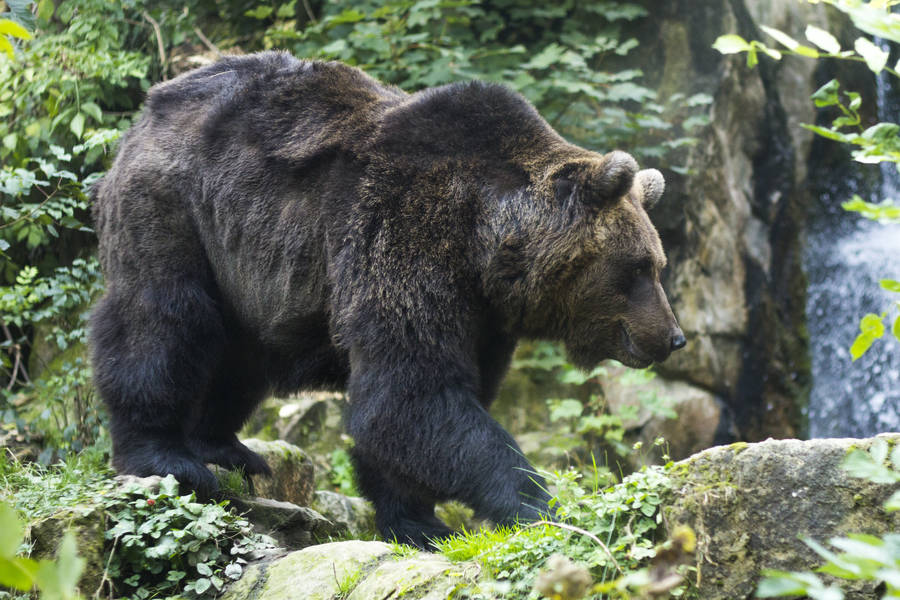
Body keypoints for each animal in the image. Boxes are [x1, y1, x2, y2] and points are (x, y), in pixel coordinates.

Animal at [89, 51, 685, 549]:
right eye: (637, 268)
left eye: (657, 265)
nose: (673, 336)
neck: (485, 244)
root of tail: (153, 103)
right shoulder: (404, 237)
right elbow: (407, 393)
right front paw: (542, 505)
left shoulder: (482, 317)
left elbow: (423, 410)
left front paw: (419, 522)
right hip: (177, 208)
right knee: (163, 319)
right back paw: (166, 456)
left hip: (244, 268)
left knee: (240, 355)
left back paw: (228, 448)